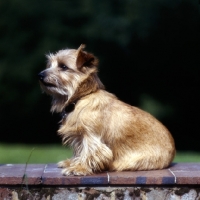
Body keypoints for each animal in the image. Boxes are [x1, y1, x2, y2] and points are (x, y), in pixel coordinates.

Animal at [38, 44, 175, 175]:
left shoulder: (90, 136)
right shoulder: (79, 137)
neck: (81, 98)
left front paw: (79, 168)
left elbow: (90, 152)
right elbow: (80, 151)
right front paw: (73, 162)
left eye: (63, 66)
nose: (40, 75)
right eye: (50, 64)